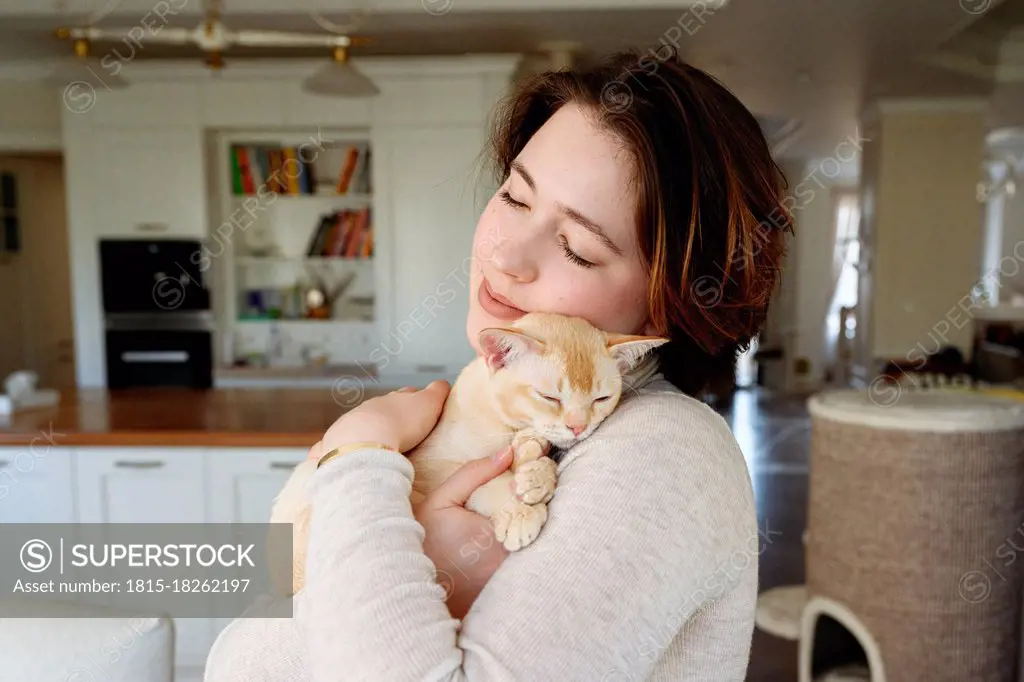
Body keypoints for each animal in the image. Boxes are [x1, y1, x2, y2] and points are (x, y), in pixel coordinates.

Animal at [268, 311, 667, 593]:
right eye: (550, 397)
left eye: (602, 399)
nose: (578, 427)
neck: (503, 423)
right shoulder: (430, 469)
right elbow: (487, 480)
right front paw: (520, 509)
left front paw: (535, 471)